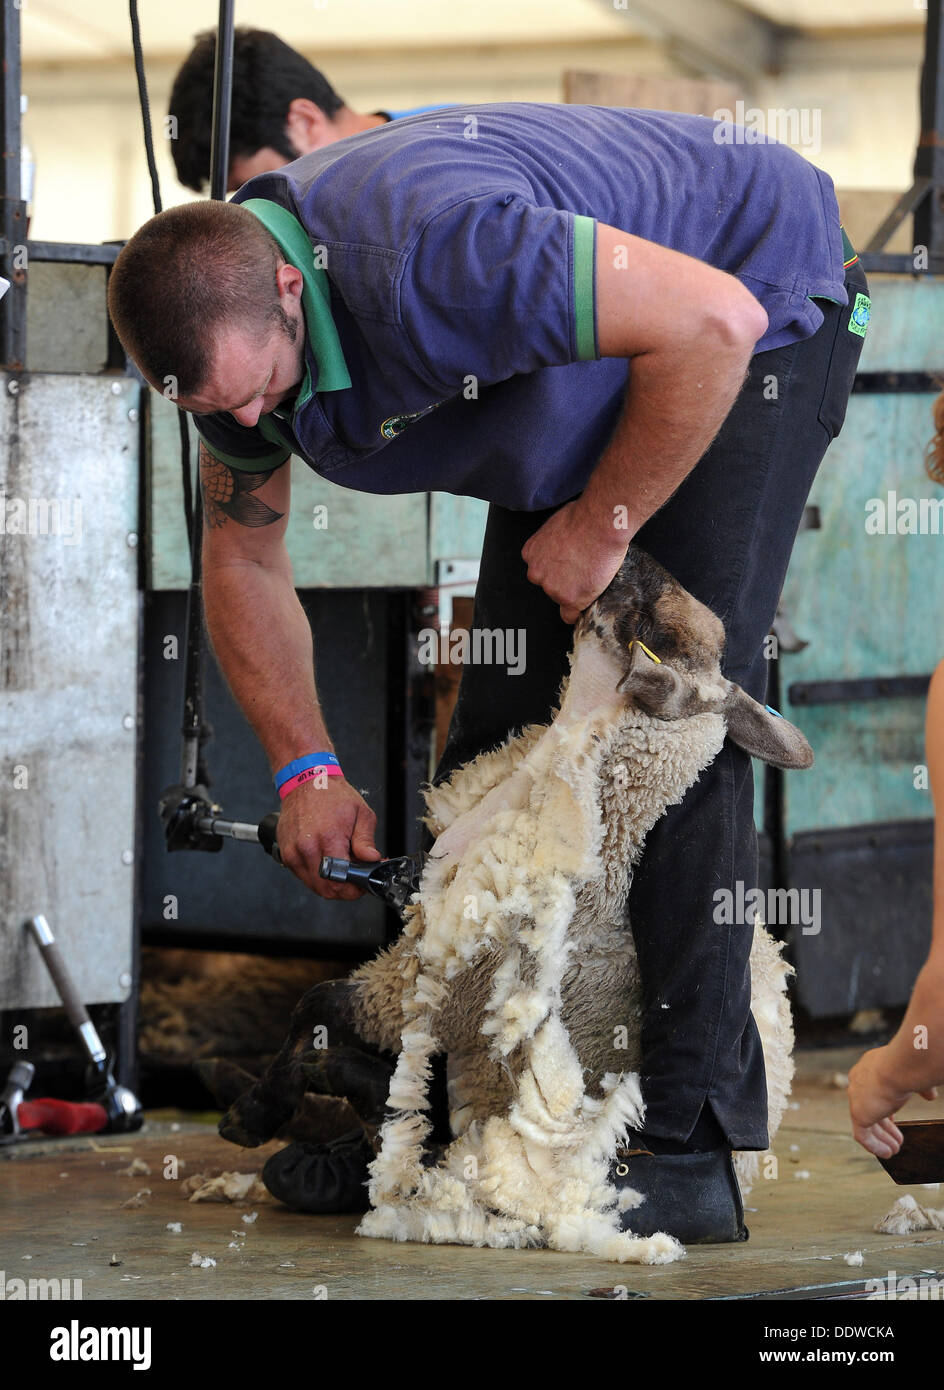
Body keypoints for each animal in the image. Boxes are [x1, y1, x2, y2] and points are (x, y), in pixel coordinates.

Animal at [218, 545, 809, 1263]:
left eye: (658, 629)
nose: (629, 549)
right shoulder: (413, 971)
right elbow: (316, 1011)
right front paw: (261, 1105)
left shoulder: (439, 993)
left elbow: (315, 1005)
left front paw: (251, 1114)